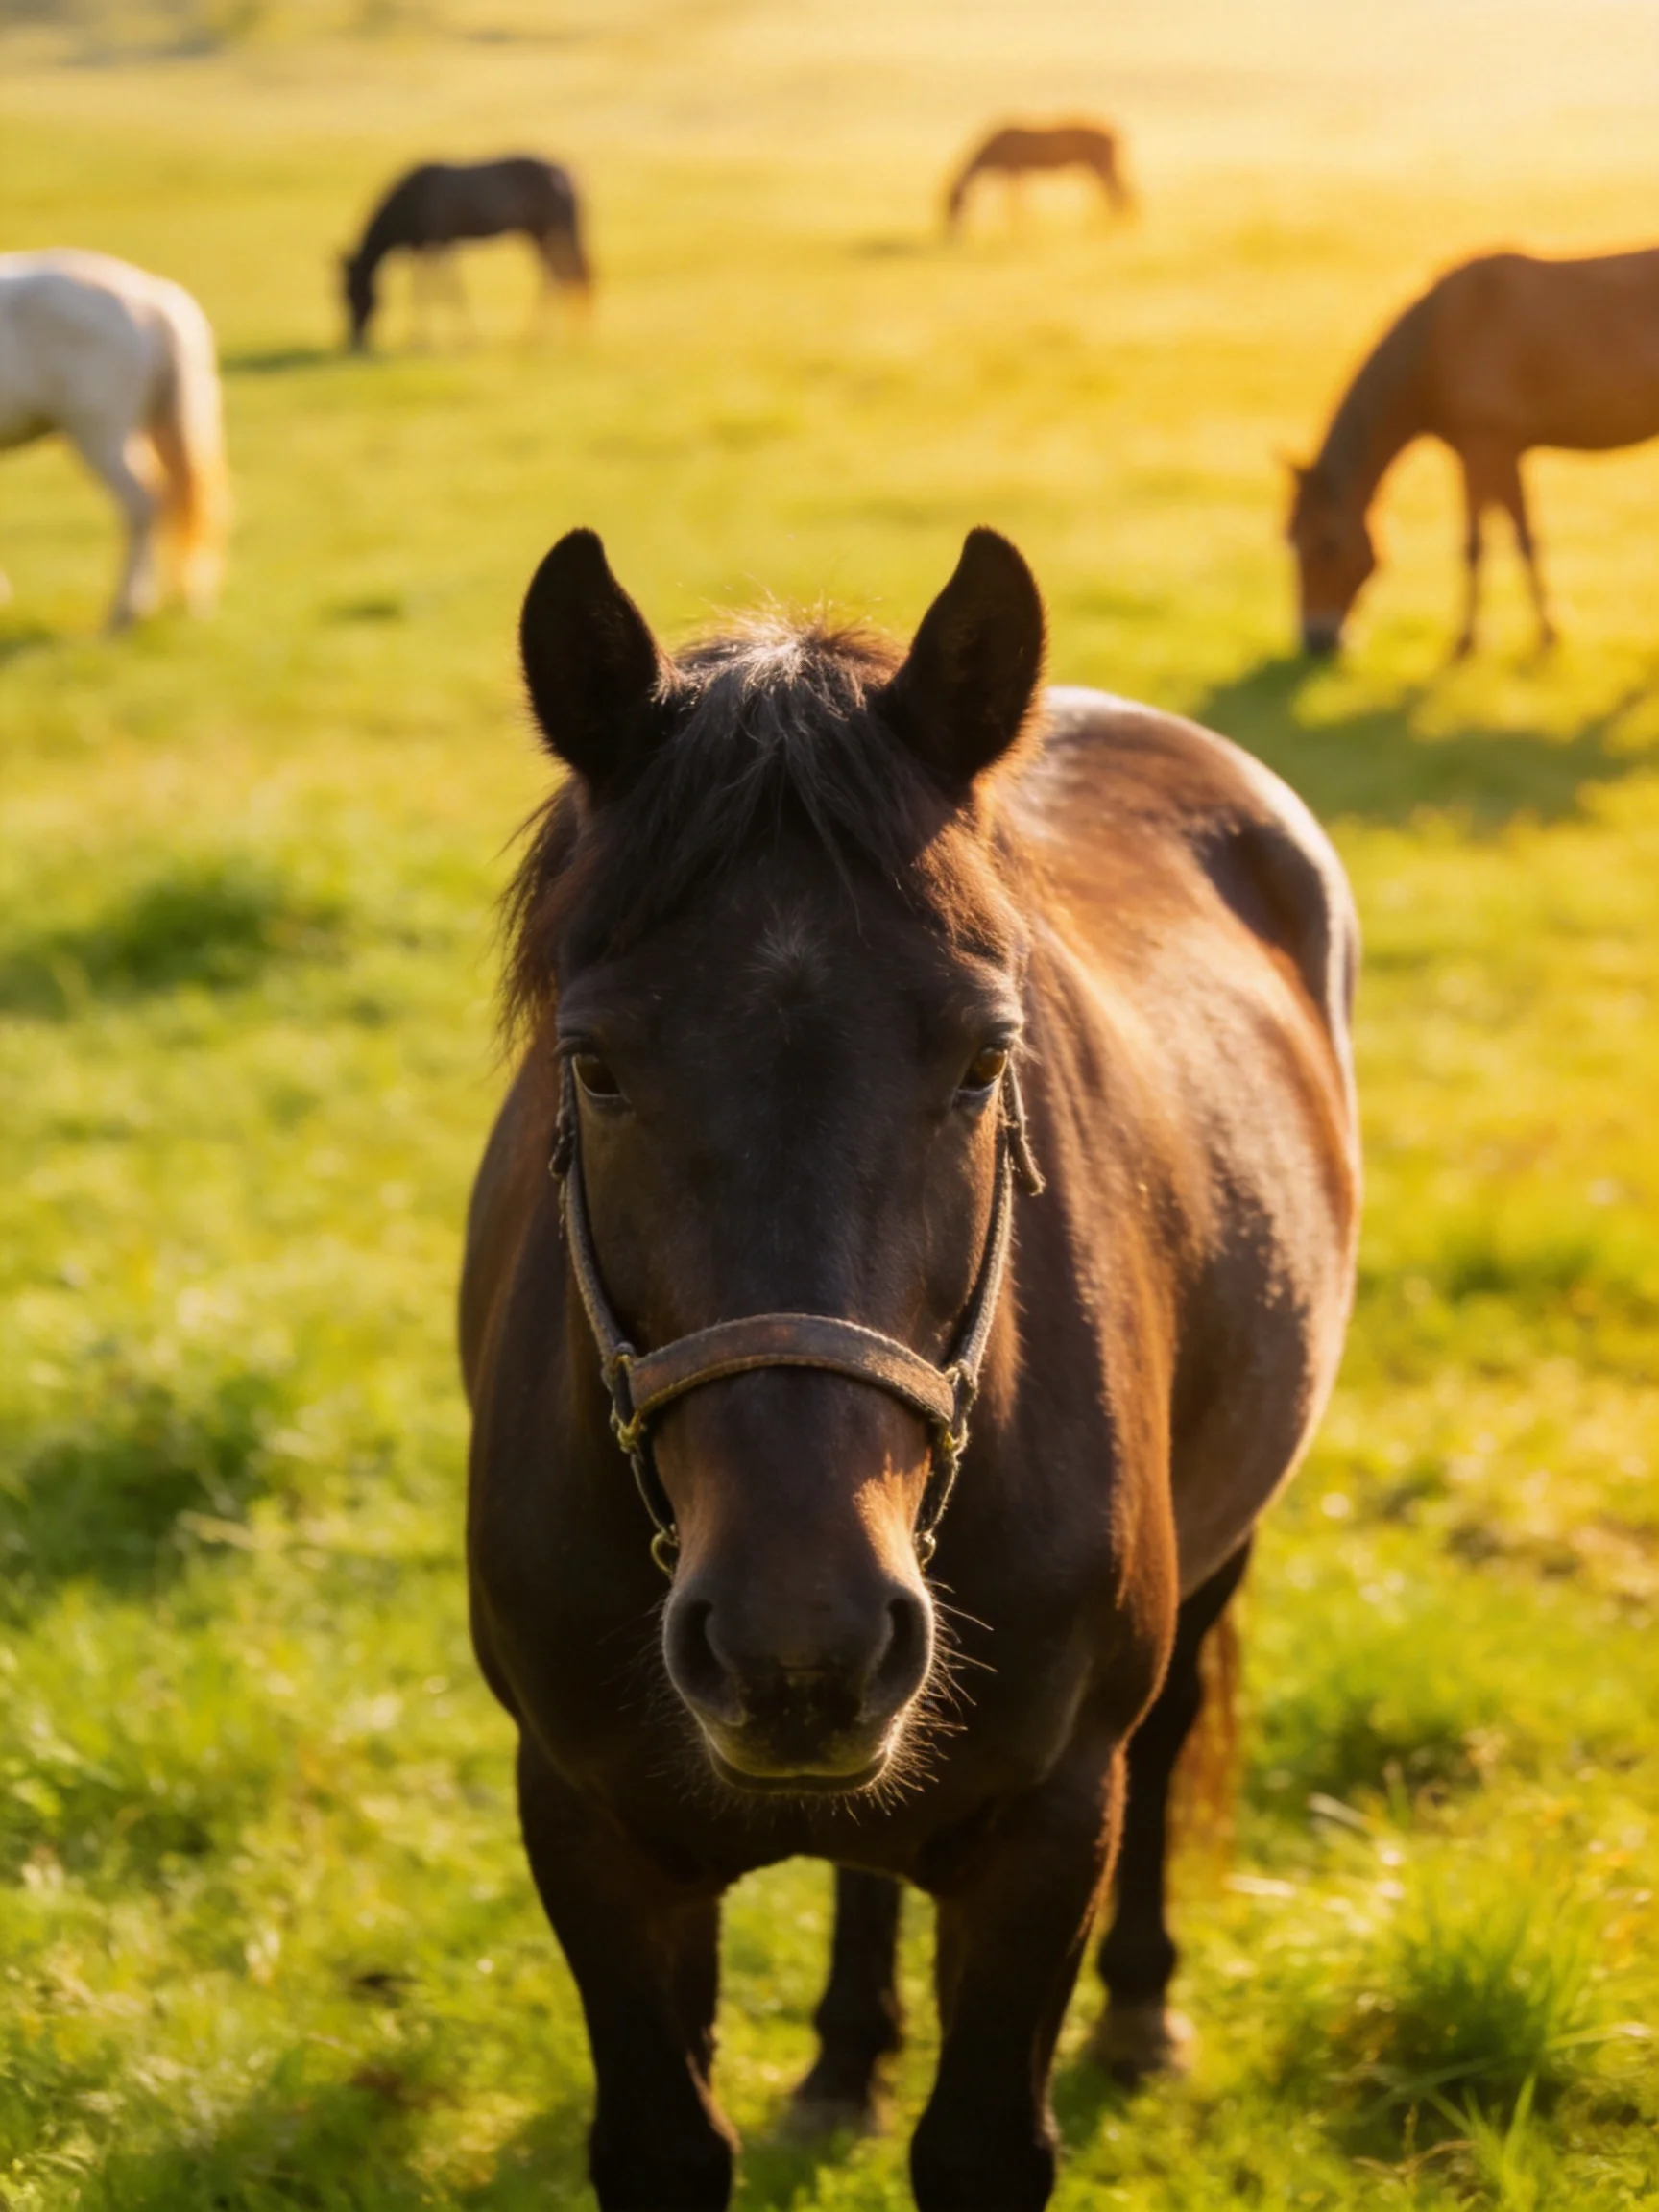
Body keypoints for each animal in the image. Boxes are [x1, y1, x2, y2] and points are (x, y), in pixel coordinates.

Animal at [340, 157, 591, 352]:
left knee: (562, 276)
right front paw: (424, 337)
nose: (355, 341)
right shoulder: (426, 247)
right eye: (343, 295)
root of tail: (568, 174)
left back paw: (545, 334)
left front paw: (430, 340)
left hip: (554, 231)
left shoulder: (436, 242)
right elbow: (432, 288)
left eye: (353, 293)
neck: (409, 203)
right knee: (557, 276)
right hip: (537, 233)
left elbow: (440, 287)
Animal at [461, 526, 1360, 2211]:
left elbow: (986, 2144)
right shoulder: (589, 1824)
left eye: (983, 1058)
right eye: (593, 1063)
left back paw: (1141, 2012)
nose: (796, 1640)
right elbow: (667, 2140)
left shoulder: (1048, 1831)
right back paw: (844, 2057)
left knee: (1176, 1727)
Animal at [944, 121, 1134, 236]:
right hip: (1097, 167)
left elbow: (1014, 201)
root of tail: (1115, 132)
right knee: (1117, 193)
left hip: (1101, 166)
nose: (952, 234)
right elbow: (1016, 200)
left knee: (1119, 193)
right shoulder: (1014, 171)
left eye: (954, 203)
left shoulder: (1014, 169)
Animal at [1286, 246, 1659, 657]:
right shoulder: (1473, 453)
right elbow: (1475, 542)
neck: (1437, 345)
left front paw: (1543, 632)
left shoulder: (1494, 446)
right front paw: (1473, 637)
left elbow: (1518, 539)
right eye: (1292, 541)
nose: (1315, 638)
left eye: (1328, 545)